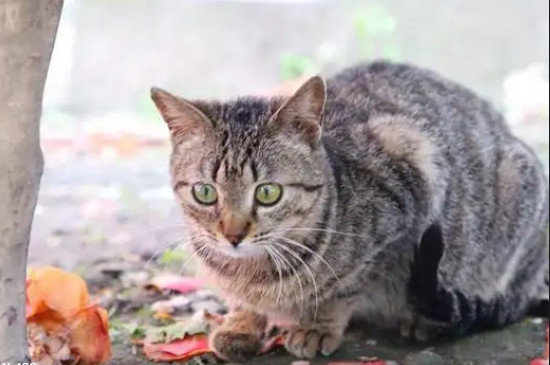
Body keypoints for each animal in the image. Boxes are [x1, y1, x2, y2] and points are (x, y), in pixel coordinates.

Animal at [152, 61, 550, 360]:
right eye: (205, 192)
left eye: (268, 193)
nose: (233, 236)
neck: (252, 272)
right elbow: (243, 304)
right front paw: (241, 323)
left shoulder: (411, 192)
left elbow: (348, 284)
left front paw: (317, 325)